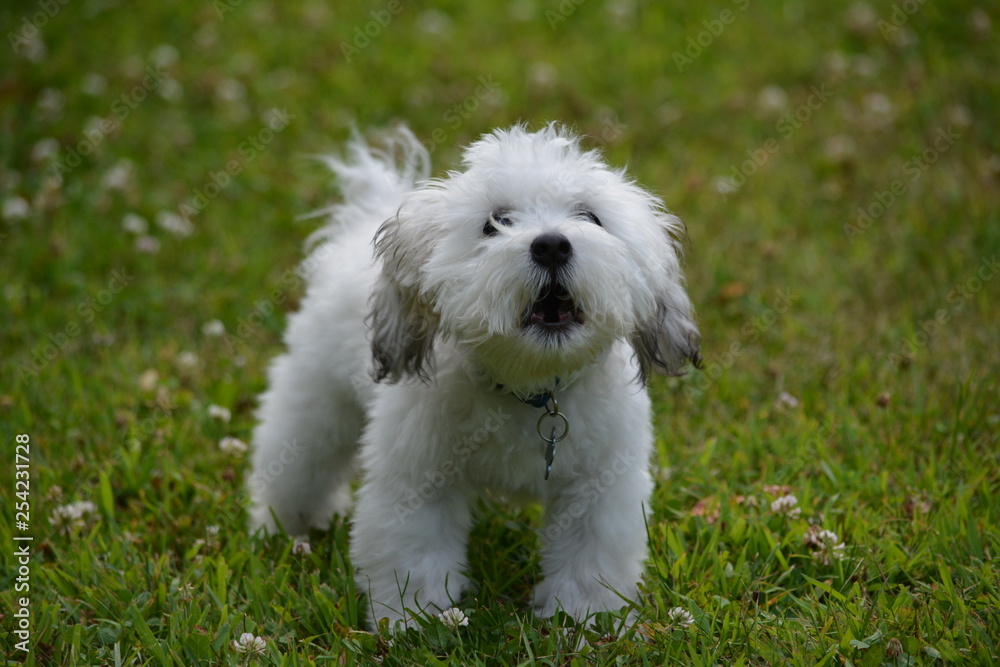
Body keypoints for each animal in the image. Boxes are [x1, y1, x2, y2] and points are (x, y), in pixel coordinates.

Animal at [248, 122, 704, 628]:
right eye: (494, 222)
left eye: (590, 216)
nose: (551, 244)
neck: (528, 387)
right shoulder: (417, 479)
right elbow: (414, 556)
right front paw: (413, 623)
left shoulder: (598, 487)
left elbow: (590, 563)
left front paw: (585, 622)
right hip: (316, 403)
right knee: (296, 462)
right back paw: (282, 526)